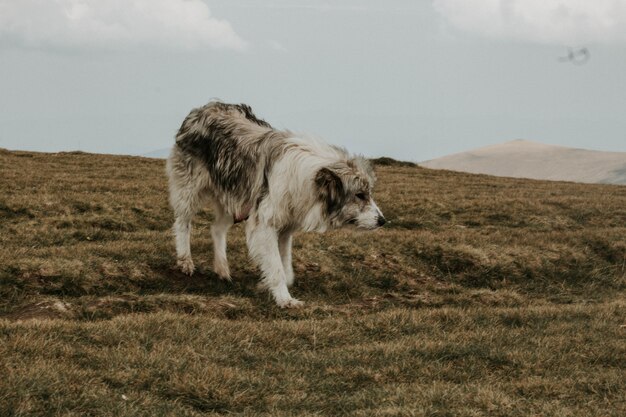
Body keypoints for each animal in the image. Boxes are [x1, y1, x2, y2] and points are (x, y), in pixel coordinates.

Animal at [166, 101, 382, 306]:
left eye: (368, 193)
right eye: (360, 195)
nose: (382, 221)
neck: (306, 178)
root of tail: (203, 108)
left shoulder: (285, 228)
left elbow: (286, 269)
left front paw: (267, 285)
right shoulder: (265, 225)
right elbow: (277, 267)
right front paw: (285, 300)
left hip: (235, 198)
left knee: (217, 229)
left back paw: (222, 269)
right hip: (190, 191)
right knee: (182, 223)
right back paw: (185, 261)